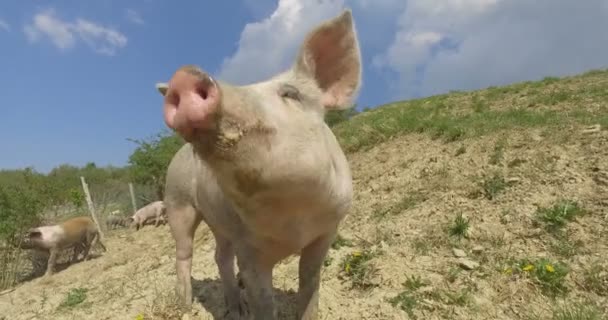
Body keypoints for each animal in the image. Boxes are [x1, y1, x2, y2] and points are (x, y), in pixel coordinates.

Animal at [154, 10, 360, 320]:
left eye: (290, 94)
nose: (183, 75)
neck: (294, 214)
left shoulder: (327, 230)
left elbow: (310, 282)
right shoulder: (248, 249)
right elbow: (263, 302)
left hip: (218, 221)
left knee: (220, 256)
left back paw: (236, 309)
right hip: (177, 201)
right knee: (184, 253)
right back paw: (186, 305)